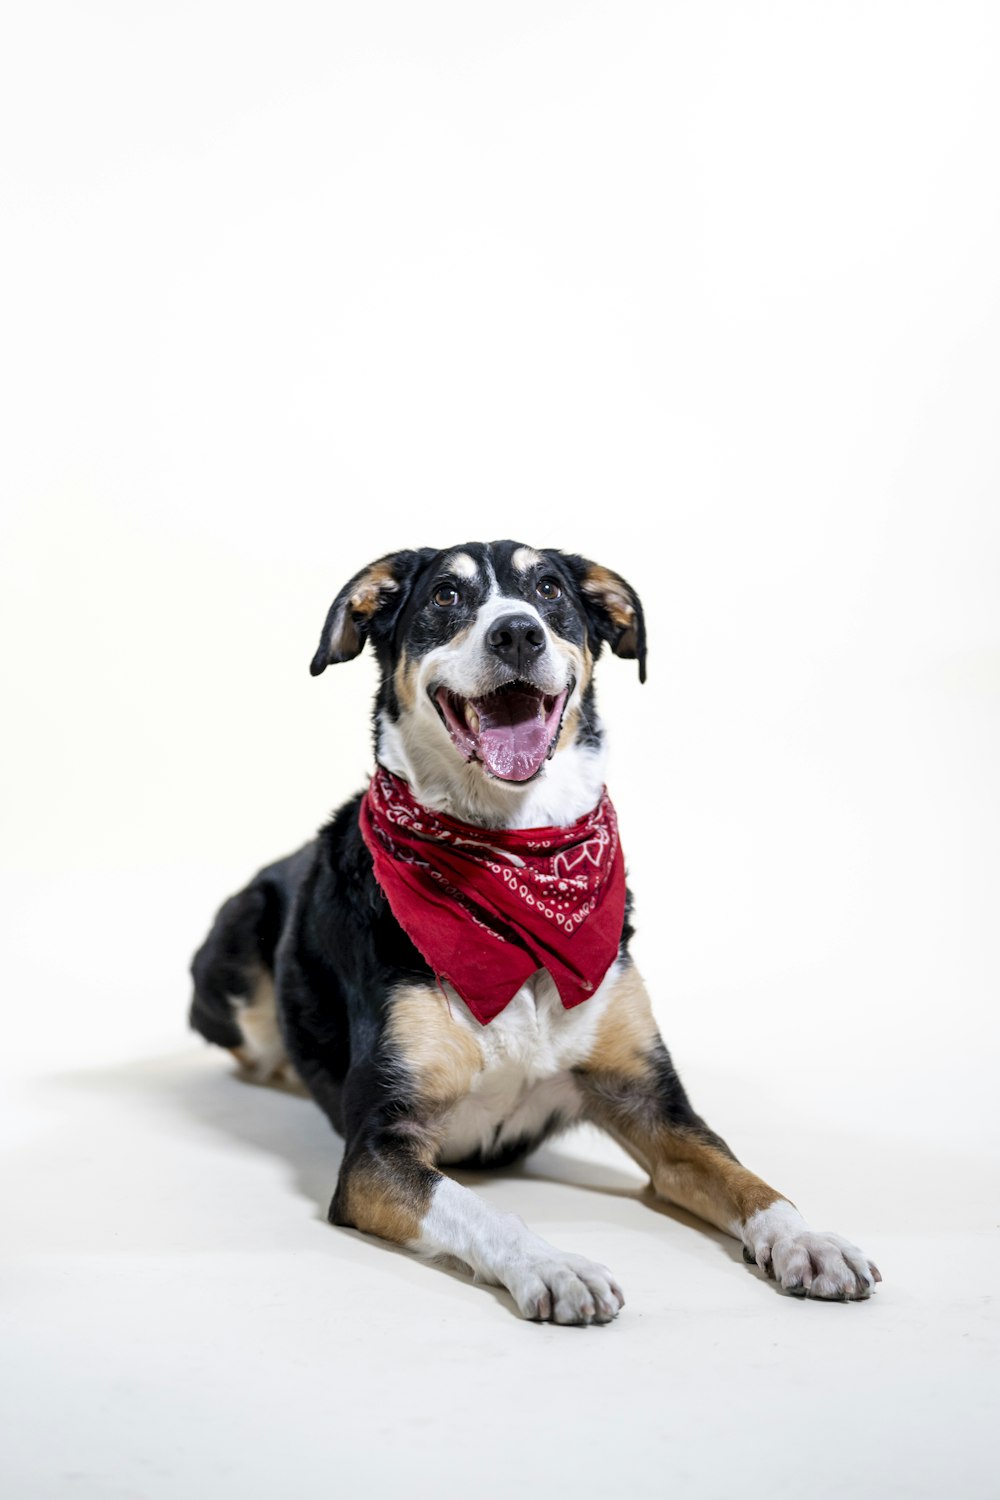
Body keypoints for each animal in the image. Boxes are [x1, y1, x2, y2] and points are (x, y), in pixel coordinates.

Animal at [191, 540, 881, 1326]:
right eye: (445, 596)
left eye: (549, 589)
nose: (517, 632)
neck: (514, 854)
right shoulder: (378, 1146)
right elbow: (480, 1210)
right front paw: (555, 1266)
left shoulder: (654, 1104)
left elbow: (746, 1178)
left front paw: (810, 1241)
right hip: (239, 946)